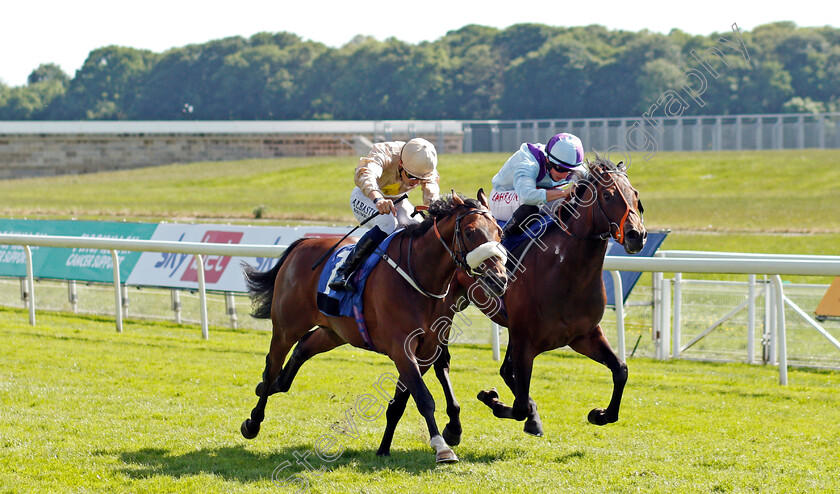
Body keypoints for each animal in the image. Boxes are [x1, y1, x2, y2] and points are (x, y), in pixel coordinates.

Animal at [240, 190, 508, 464]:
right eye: (470, 232)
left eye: (500, 232)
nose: (499, 279)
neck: (419, 276)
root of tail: (302, 244)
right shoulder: (402, 348)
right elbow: (423, 398)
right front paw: (442, 447)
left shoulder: (427, 349)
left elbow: (403, 401)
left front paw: (385, 448)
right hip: (287, 326)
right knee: (272, 365)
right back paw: (253, 421)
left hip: (335, 331)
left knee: (303, 348)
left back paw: (273, 386)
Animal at [456, 154, 648, 436]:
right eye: (609, 195)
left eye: (635, 195)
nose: (637, 236)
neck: (565, 274)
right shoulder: (525, 340)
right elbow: (519, 403)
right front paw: (496, 401)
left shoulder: (584, 335)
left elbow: (621, 370)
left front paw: (600, 414)